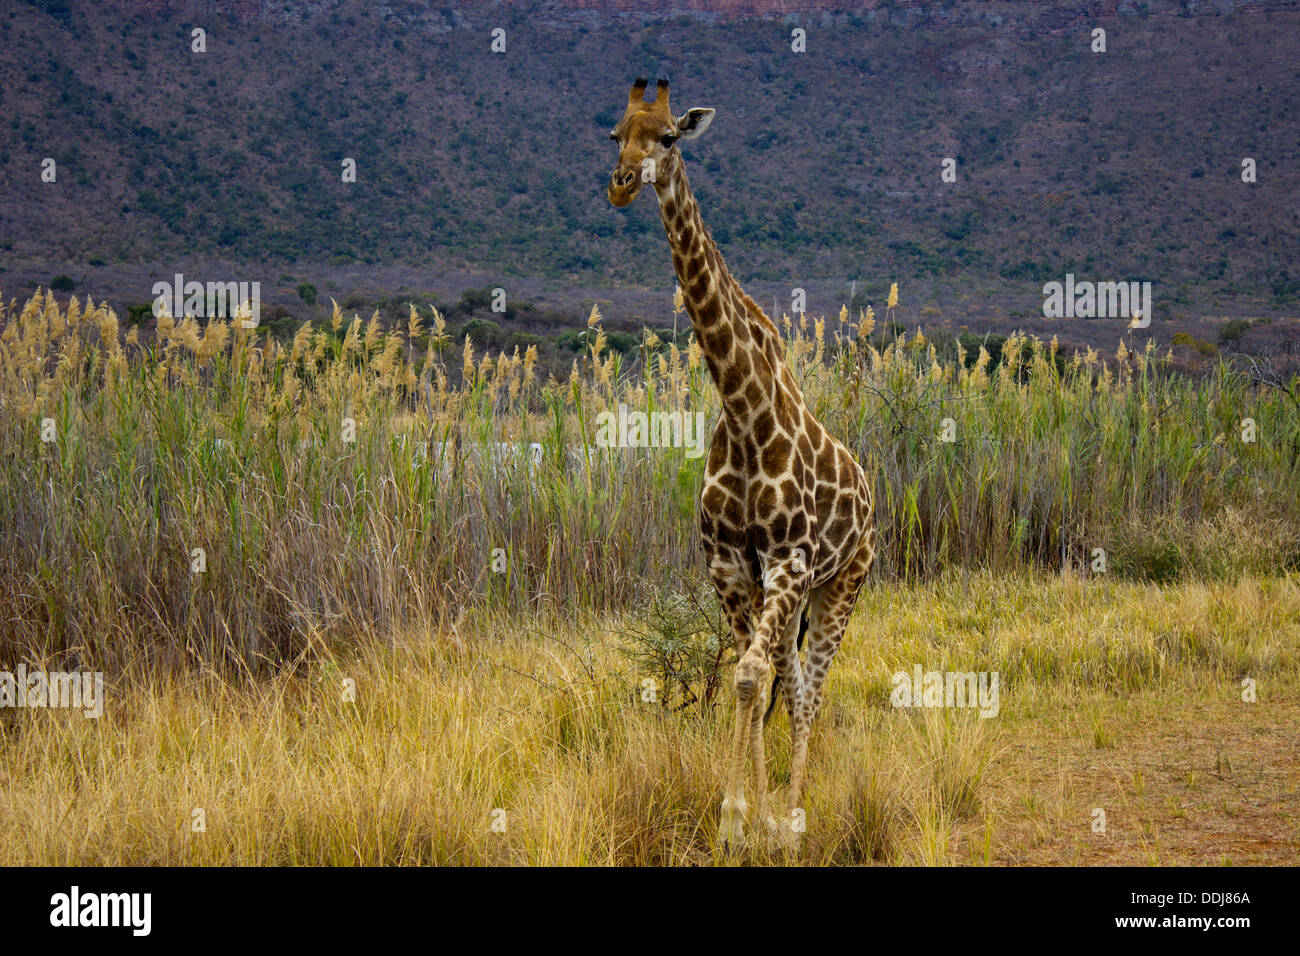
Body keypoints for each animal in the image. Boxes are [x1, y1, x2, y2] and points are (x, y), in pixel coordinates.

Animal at [606, 79, 877, 848]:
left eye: (668, 137)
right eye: (616, 135)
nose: (621, 184)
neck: (741, 403)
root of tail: (872, 492)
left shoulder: (789, 559)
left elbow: (754, 681)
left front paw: (746, 819)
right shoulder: (729, 564)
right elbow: (748, 681)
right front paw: (742, 815)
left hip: (843, 582)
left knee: (811, 692)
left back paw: (796, 815)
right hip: (793, 590)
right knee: (790, 679)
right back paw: (779, 809)